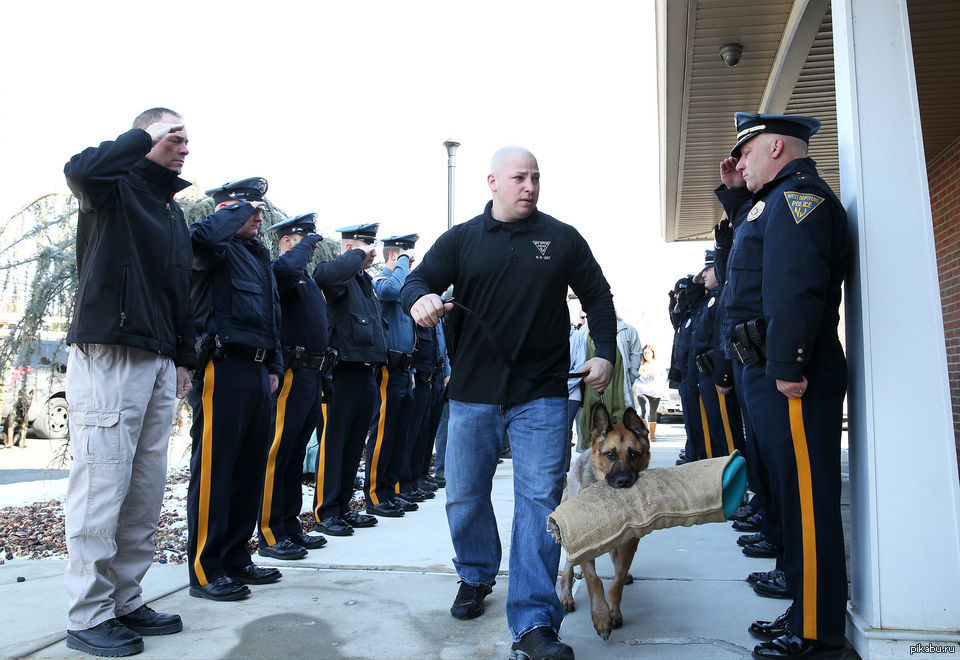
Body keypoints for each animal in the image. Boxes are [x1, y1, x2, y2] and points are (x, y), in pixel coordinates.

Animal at [560, 402, 648, 640]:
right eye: (610, 454)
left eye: (634, 454)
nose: (623, 481)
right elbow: (594, 580)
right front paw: (601, 617)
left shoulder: (630, 542)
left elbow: (618, 577)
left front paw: (614, 612)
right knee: (568, 566)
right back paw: (566, 595)